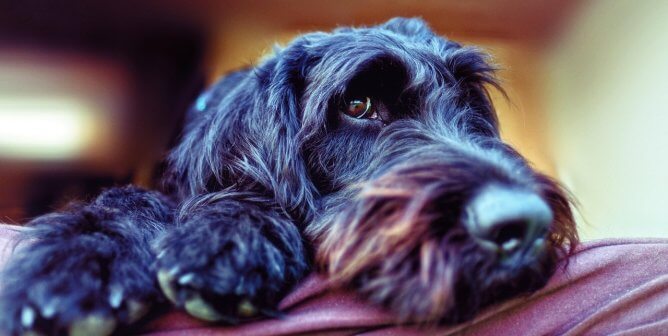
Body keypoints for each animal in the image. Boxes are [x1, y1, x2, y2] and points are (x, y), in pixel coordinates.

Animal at [0, 19, 576, 336]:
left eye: (470, 104)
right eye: (358, 104)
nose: (522, 222)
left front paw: (231, 238)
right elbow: (131, 200)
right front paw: (81, 265)